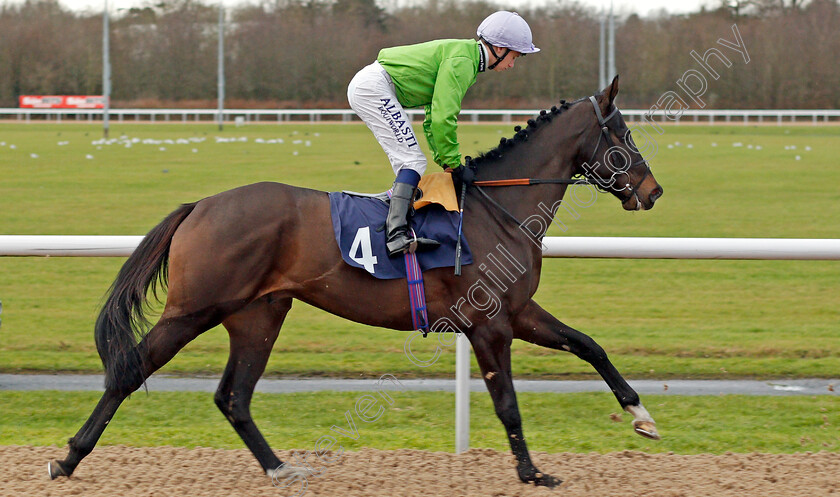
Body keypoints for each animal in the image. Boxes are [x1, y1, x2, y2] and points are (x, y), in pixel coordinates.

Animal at [47, 75, 664, 486]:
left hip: (258, 315)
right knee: (131, 372)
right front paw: (533, 473)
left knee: (233, 397)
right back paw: (68, 458)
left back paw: (280, 468)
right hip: (193, 309)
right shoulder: (490, 324)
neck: (498, 209)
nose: (652, 191)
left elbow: (589, 345)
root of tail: (200, 205)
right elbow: (507, 403)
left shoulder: (518, 313)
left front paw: (642, 417)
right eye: (623, 134)